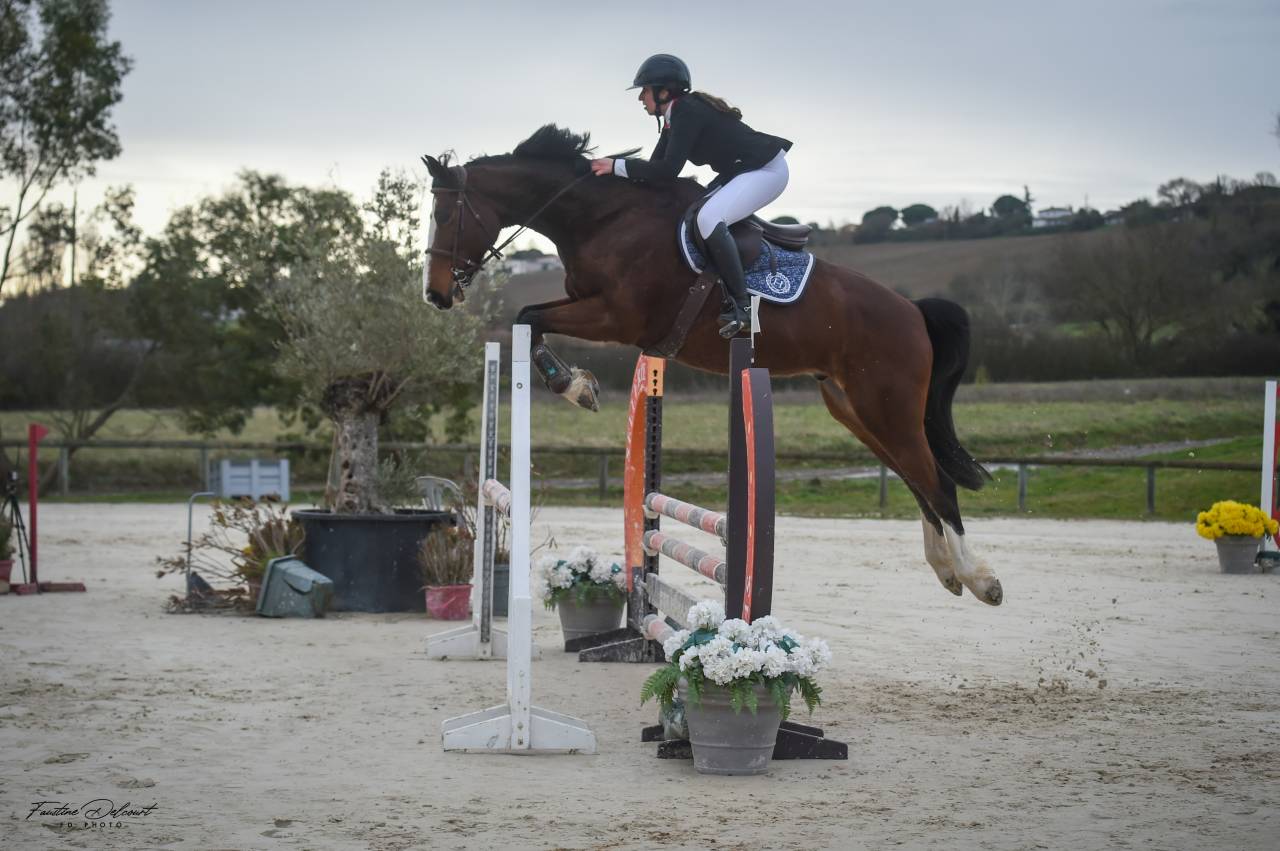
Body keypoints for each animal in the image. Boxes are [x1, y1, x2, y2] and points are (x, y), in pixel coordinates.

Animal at [421, 125, 1002, 606]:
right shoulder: (592, 307)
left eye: (446, 215)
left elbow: (528, 315)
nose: (436, 295)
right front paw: (577, 384)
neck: (602, 218)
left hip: (887, 406)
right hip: (854, 409)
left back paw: (979, 579)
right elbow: (531, 318)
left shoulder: (616, 317)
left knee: (936, 484)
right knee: (916, 480)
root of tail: (913, 311)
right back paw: (946, 570)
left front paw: (573, 386)